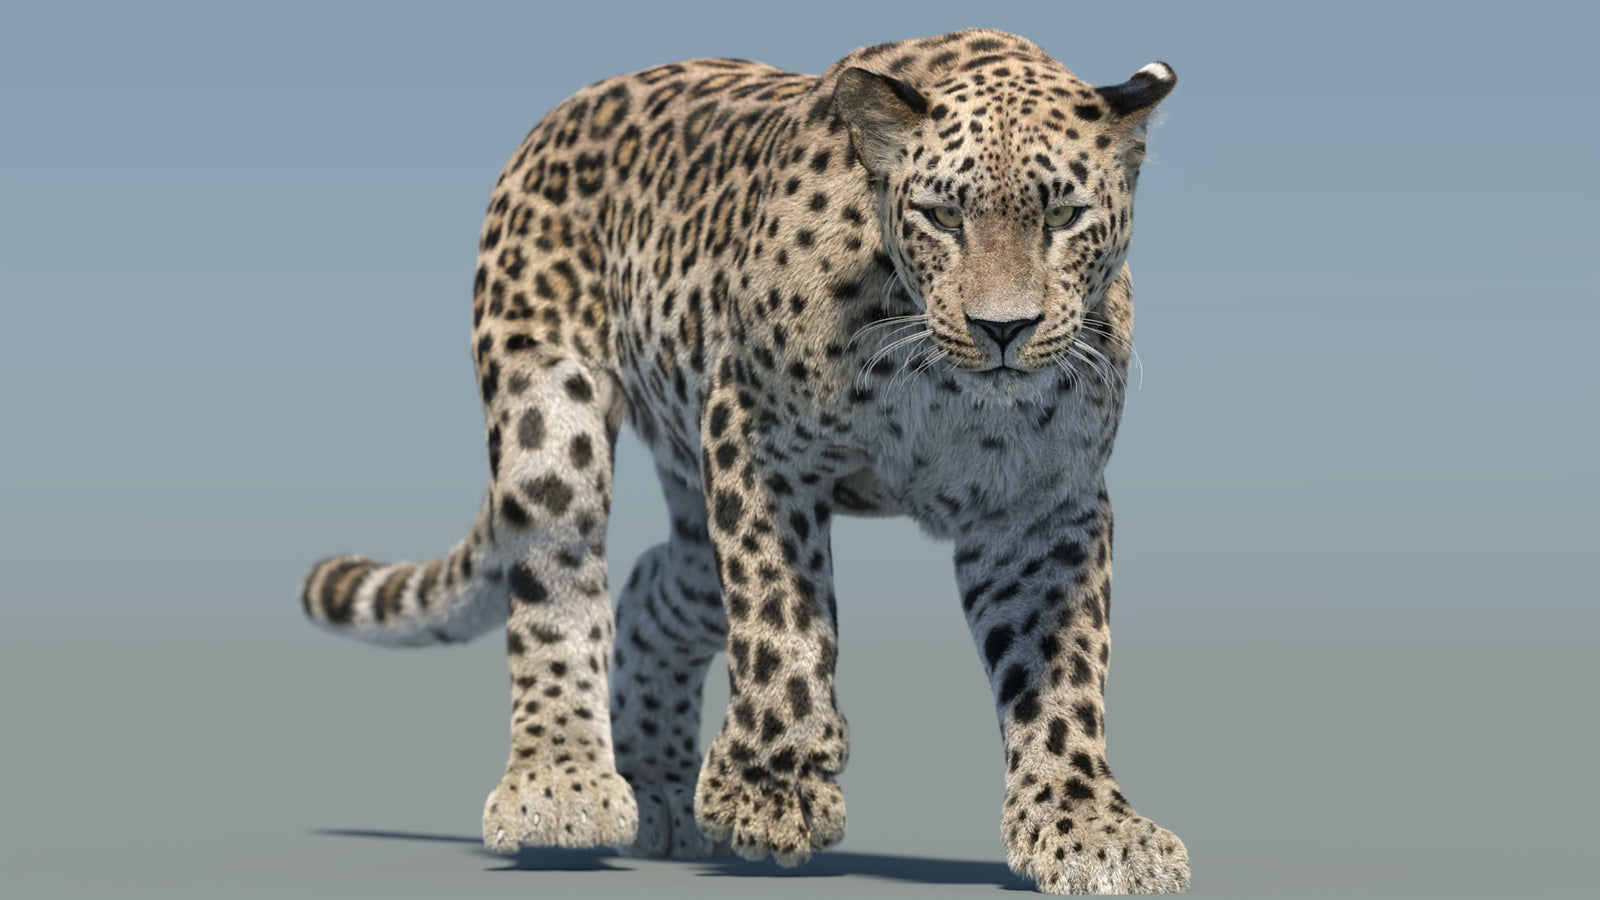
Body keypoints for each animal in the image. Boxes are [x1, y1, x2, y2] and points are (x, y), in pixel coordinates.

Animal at [299, 28, 1184, 894]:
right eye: (941, 215)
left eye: (1063, 214)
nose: (1003, 328)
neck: (935, 378)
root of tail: (566, 109)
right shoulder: (758, 439)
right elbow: (779, 618)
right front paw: (768, 794)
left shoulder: (1042, 502)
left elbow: (1060, 669)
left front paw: (1087, 825)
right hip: (549, 407)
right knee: (560, 579)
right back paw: (562, 785)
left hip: (692, 505)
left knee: (654, 586)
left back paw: (661, 795)